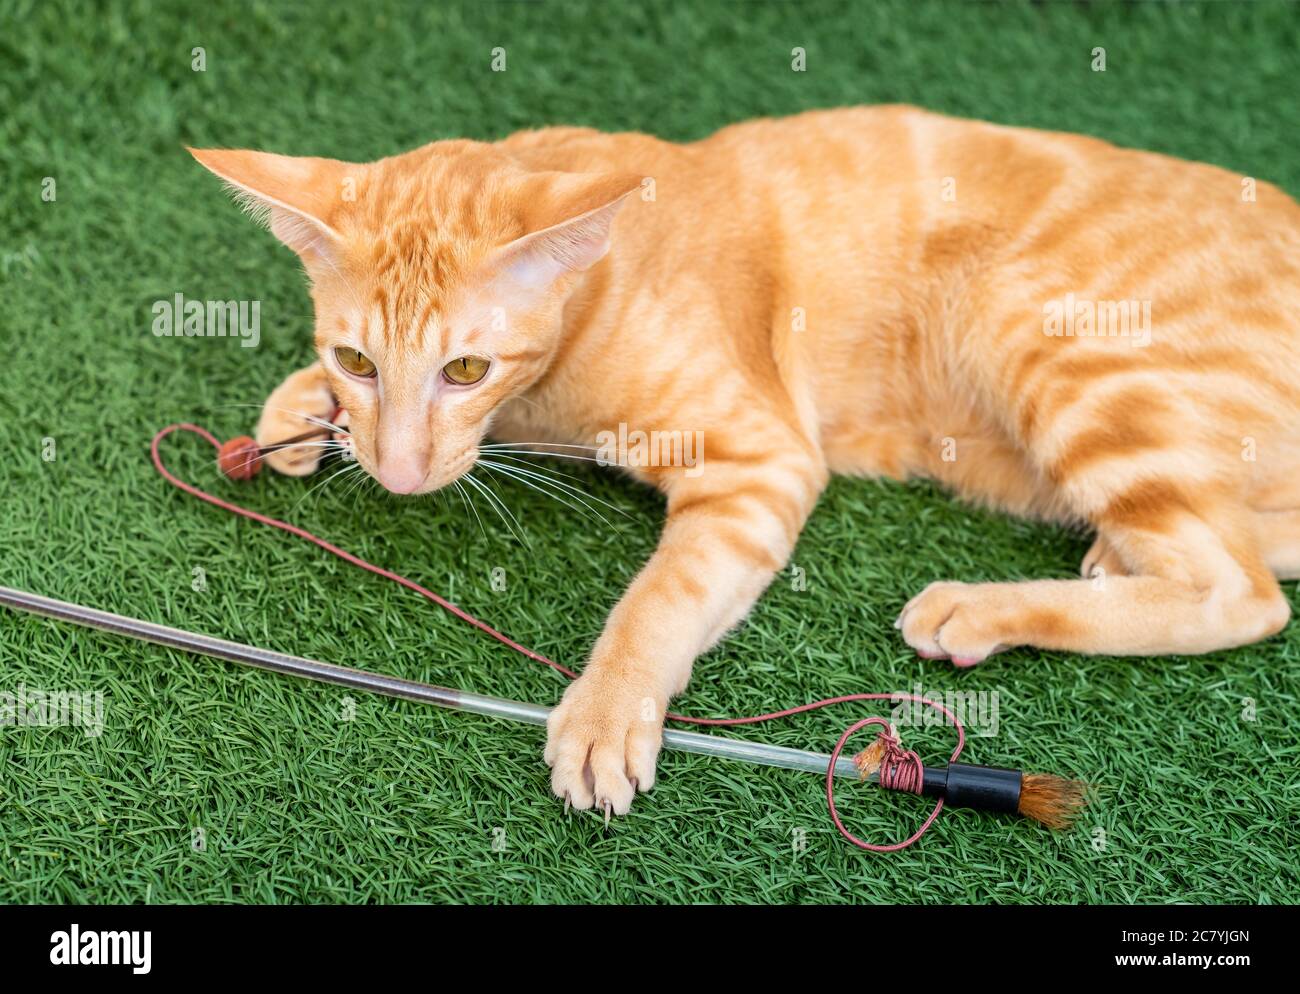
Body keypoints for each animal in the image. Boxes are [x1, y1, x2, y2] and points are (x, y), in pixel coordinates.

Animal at [189, 106, 1300, 815]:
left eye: (465, 367)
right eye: (358, 358)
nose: (402, 473)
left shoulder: (758, 462)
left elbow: (659, 600)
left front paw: (604, 709)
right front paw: (306, 408)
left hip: (1045, 332)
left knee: (1241, 591)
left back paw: (983, 605)